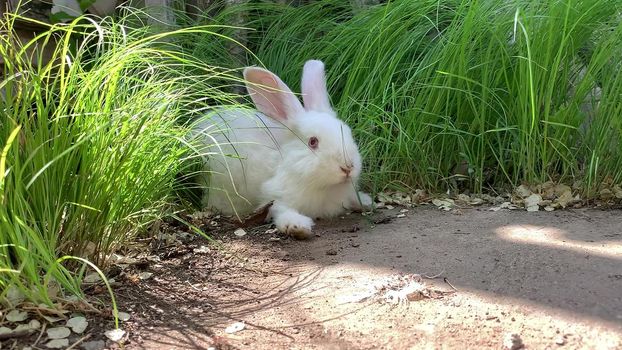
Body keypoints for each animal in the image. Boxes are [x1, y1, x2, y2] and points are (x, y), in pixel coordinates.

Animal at [193, 60, 372, 241]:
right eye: (313, 142)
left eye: (348, 132)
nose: (348, 167)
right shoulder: (276, 197)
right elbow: (282, 211)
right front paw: (297, 227)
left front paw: (366, 202)